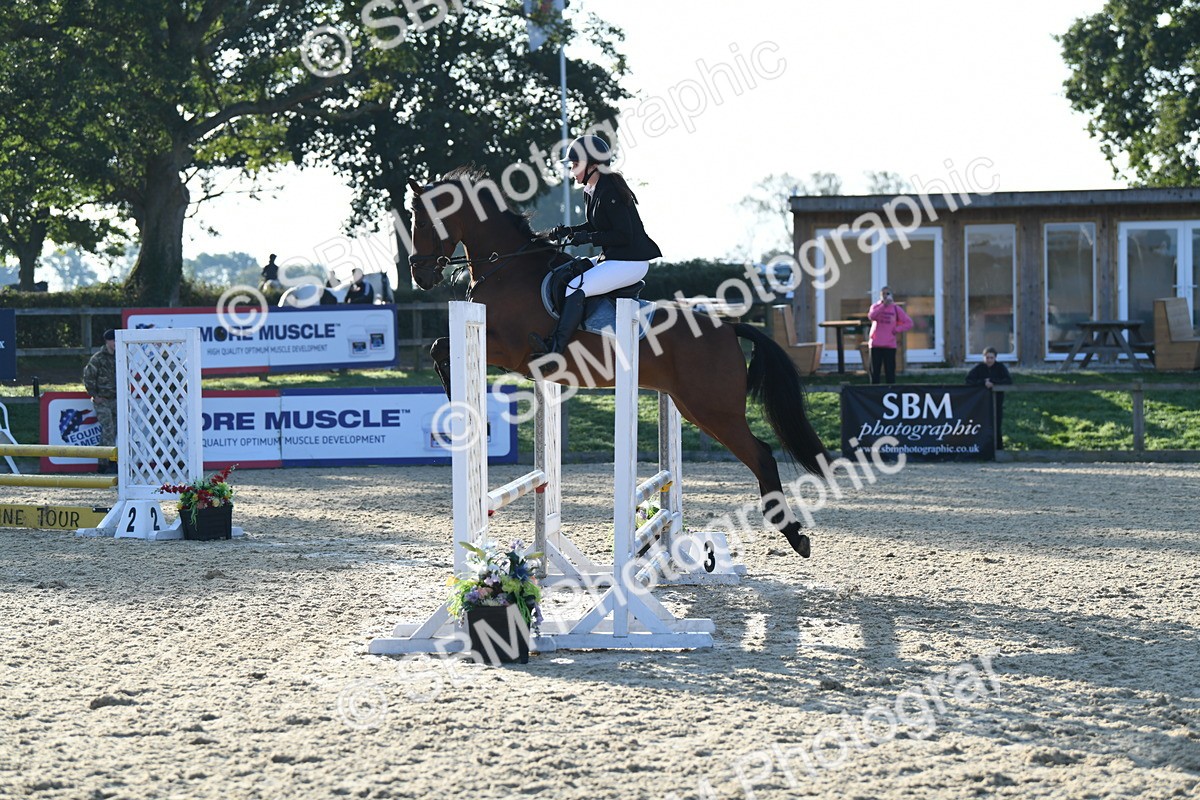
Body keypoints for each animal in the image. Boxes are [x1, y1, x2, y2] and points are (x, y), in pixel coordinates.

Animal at [406, 169, 829, 558]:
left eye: (422, 221)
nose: (419, 275)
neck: (507, 268)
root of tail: (728, 327)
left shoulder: (507, 349)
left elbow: (440, 348)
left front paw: (468, 416)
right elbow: (438, 349)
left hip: (715, 412)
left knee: (763, 456)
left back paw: (795, 535)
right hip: (693, 407)